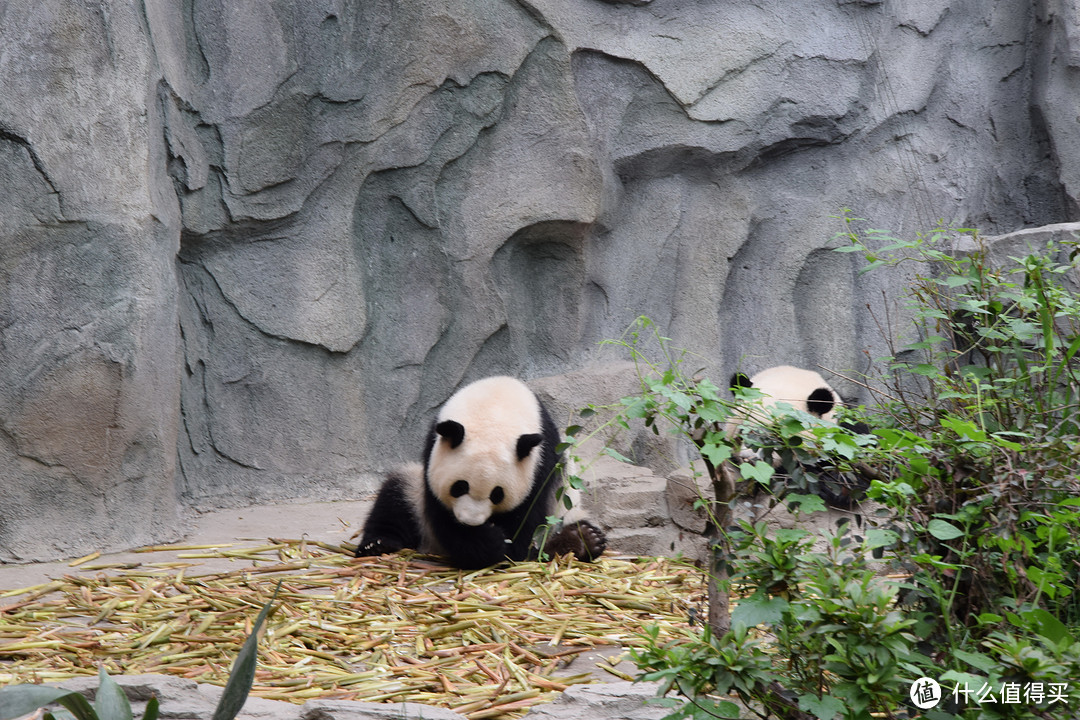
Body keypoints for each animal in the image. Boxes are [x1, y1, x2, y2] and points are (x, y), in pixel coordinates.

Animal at [354, 377, 609, 569]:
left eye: (497, 494)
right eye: (459, 486)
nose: (471, 521)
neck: (495, 406)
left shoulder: (540, 466)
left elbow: (525, 524)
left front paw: (503, 544)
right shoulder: (431, 452)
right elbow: (443, 517)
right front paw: (488, 542)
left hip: (566, 508)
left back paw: (581, 540)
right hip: (414, 492)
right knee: (395, 498)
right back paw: (378, 545)